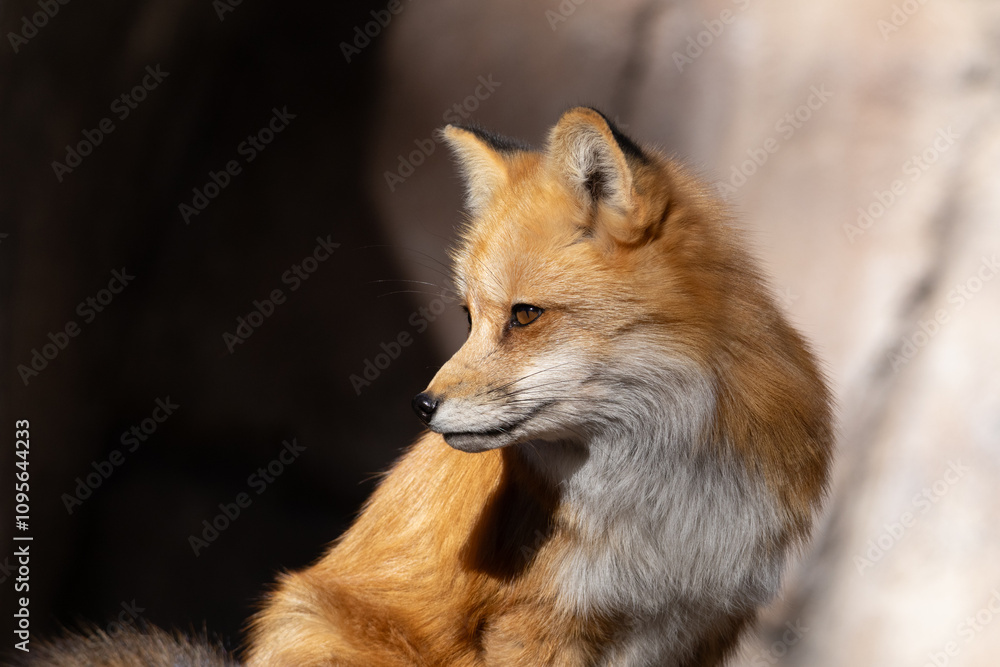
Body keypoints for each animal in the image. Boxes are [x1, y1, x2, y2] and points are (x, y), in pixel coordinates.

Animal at [19, 108, 833, 666]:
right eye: (467, 317)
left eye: (524, 315)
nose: (421, 406)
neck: (667, 505)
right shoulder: (534, 625)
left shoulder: (701, 628)